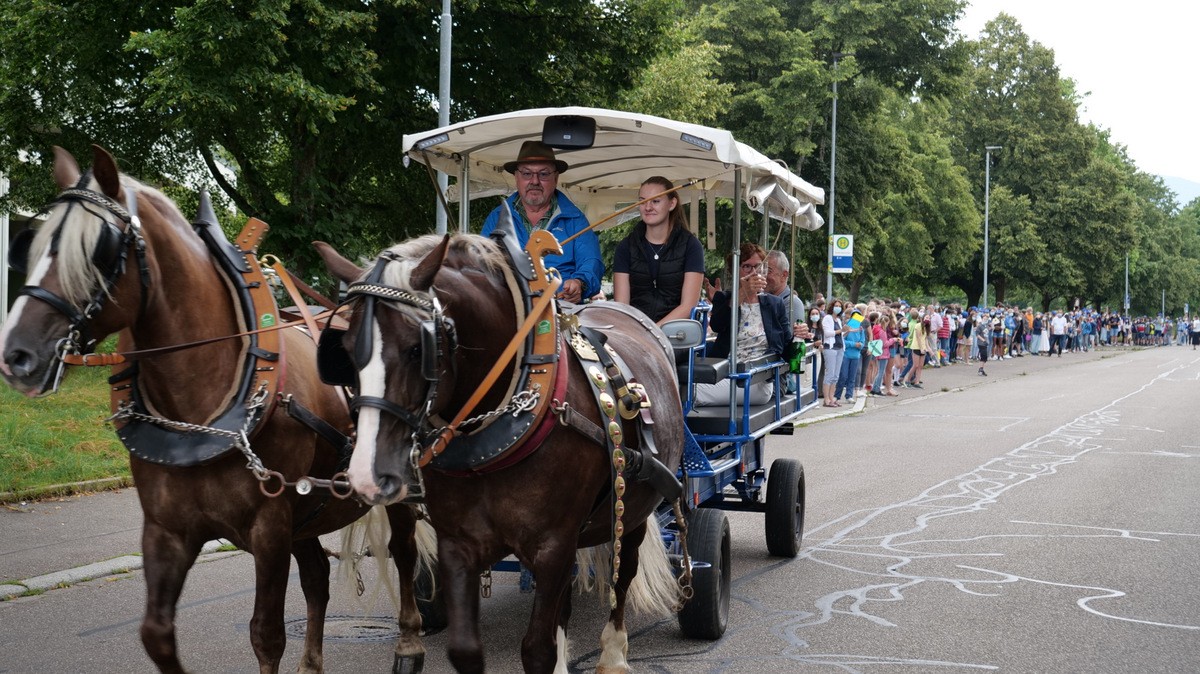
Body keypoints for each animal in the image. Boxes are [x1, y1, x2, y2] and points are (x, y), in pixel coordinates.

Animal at [0, 146, 429, 671]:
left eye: (97, 250)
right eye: (30, 247)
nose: (16, 354)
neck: (200, 412)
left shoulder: (269, 529)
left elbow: (266, 635)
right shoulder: (166, 530)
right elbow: (156, 635)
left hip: (394, 489)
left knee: (404, 552)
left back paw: (409, 643)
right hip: (306, 512)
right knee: (317, 580)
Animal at [316, 232, 686, 671]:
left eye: (415, 349)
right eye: (345, 349)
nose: (367, 476)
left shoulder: (553, 546)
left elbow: (537, 649)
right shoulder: (457, 544)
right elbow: (465, 648)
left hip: (634, 509)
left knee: (623, 572)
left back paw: (612, 653)